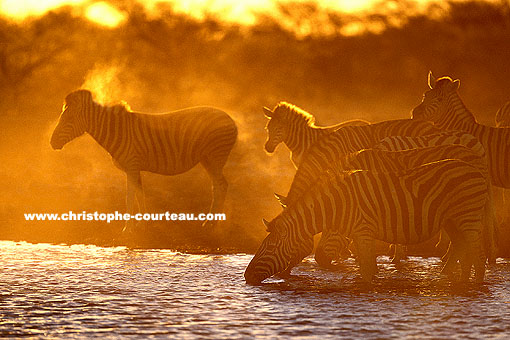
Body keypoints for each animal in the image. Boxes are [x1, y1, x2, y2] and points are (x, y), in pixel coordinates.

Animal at [49, 89, 237, 230]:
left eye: (68, 119)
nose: (51, 143)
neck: (118, 131)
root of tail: (230, 118)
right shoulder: (134, 168)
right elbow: (140, 194)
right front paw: (143, 225)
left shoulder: (131, 166)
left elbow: (129, 197)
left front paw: (128, 229)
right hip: (207, 159)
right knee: (219, 185)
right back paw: (212, 222)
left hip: (215, 157)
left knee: (219, 186)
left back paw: (211, 224)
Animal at [245, 159, 488, 284]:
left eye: (269, 248)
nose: (246, 277)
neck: (337, 204)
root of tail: (475, 169)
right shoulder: (358, 234)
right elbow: (365, 266)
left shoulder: (363, 231)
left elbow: (367, 268)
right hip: (452, 220)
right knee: (461, 248)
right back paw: (452, 280)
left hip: (467, 216)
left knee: (478, 254)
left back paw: (472, 286)